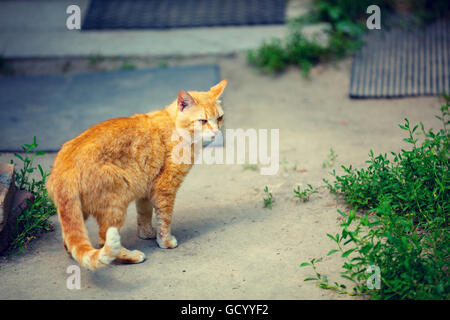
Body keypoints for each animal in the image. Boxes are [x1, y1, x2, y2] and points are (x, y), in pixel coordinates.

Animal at [47, 80, 227, 270]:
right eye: (203, 121)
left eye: (219, 118)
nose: (216, 132)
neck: (175, 128)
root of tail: (63, 169)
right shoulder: (165, 189)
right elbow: (165, 220)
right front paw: (165, 242)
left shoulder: (146, 188)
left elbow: (144, 214)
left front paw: (146, 233)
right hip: (116, 202)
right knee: (104, 240)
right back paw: (132, 256)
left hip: (80, 211)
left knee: (69, 240)